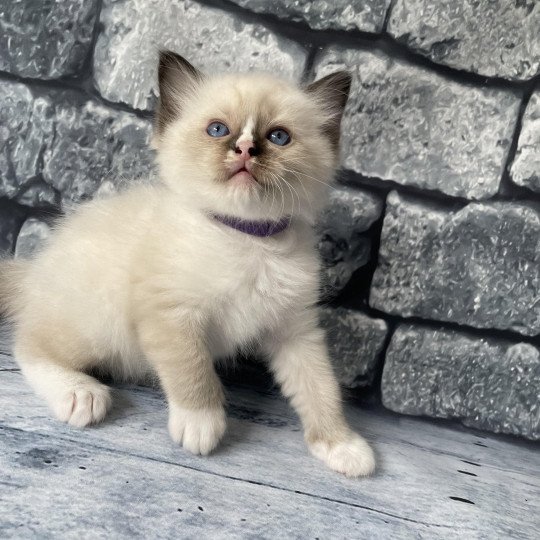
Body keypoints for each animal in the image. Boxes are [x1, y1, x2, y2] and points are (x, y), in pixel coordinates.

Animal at [0, 50, 376, 476]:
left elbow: (321, 387)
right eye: (217, 129)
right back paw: (80, 394)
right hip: (98, 321)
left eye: (278, 137)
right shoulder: (171, 313)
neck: (246, 238)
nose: (245, 150)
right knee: (28, 345)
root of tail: (34, 270)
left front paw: (343, 446)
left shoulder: (295, 330)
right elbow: (193, 371)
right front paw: (201, 425)